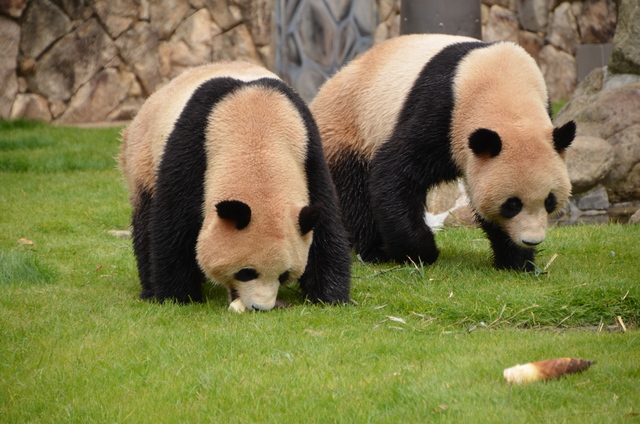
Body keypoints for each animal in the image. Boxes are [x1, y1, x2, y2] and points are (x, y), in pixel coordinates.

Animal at [120, 61, 350, 310]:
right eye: (246, 272)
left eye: (284, 275)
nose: (260, 307)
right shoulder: (192, 146)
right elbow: (173, 222)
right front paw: (176, 297)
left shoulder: (309, 153)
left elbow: (325, 223)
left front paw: (331, 297)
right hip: (144, 156)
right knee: (145, 219)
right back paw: (149, 289)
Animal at [312, 34, 576, 270]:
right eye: (512, 204)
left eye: (549, 201)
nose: (531, 240)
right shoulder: (442, 110)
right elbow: (393, 172)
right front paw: (422, 252)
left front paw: (517, 260)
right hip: (349, 128)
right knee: (356, 192)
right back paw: (376, 251)